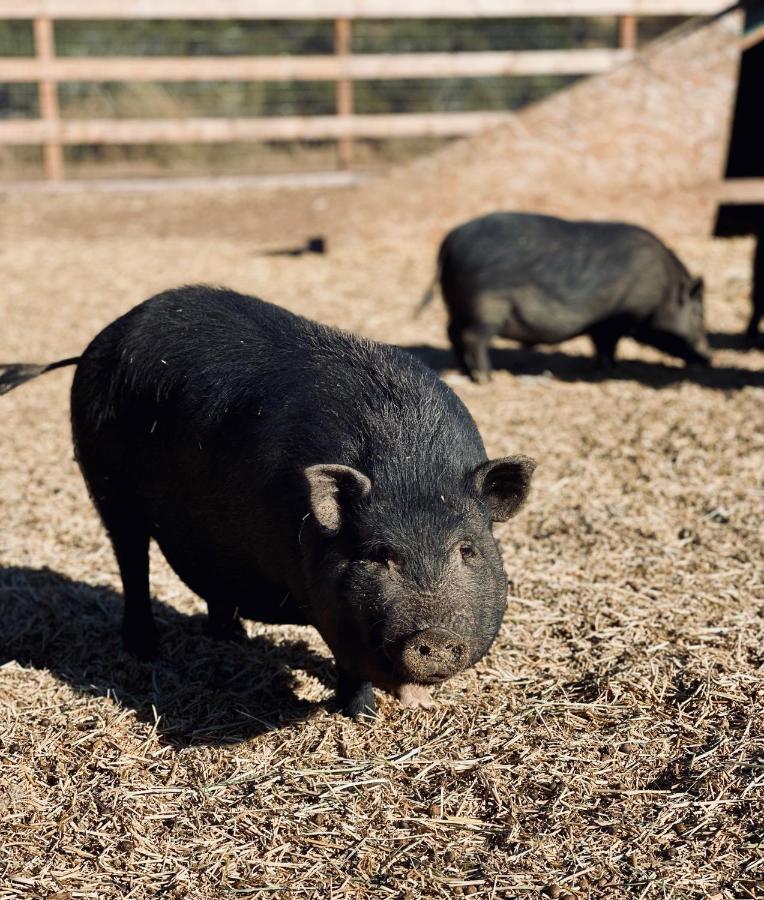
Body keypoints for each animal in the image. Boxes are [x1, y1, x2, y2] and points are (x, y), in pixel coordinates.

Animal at [1, 284, 536, 720]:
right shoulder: (324, 597)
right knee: (132, 560)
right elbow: (349, 661)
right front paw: (363, 715)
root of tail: (95, 346)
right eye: (378, 554)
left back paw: (231, 637)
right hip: (107, 485)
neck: (412, 465)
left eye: (467, 550)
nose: (434, 638)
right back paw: (145, 648)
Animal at [418, 213, 712, 382]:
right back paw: (486, 377)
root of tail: (449, 242)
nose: (709, 357)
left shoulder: (603, 324)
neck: (662, 290)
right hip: (486, 306)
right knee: (472, 337)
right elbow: (607, 345)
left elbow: (601, 344)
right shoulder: (615, 319)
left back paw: (464, 372)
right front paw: (611, 369)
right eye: (698, 314)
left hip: (456, 305)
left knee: (452, 333)